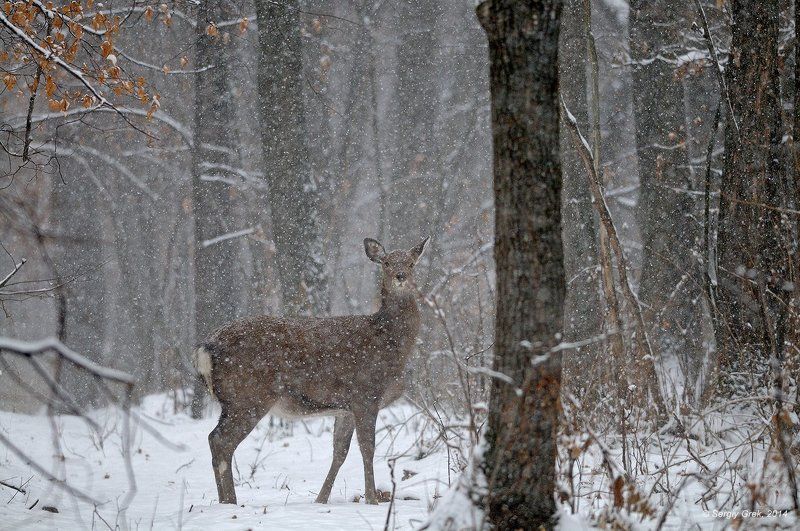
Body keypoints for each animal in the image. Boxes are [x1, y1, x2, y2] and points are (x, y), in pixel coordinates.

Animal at [192, 236, 429, 505]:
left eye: (411, 263)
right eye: (387, 263)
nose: (400, 276)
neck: (391, 342)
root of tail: (206, 348)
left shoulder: (346, 407)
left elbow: (340, 451)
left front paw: (321, 500)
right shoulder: (366, 393)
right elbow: (367, 448)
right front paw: (372, 500)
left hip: (233, 401)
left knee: (214, 440)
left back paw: (225, 501)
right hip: (248, 396)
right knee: (222, 441)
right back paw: (230, 502)